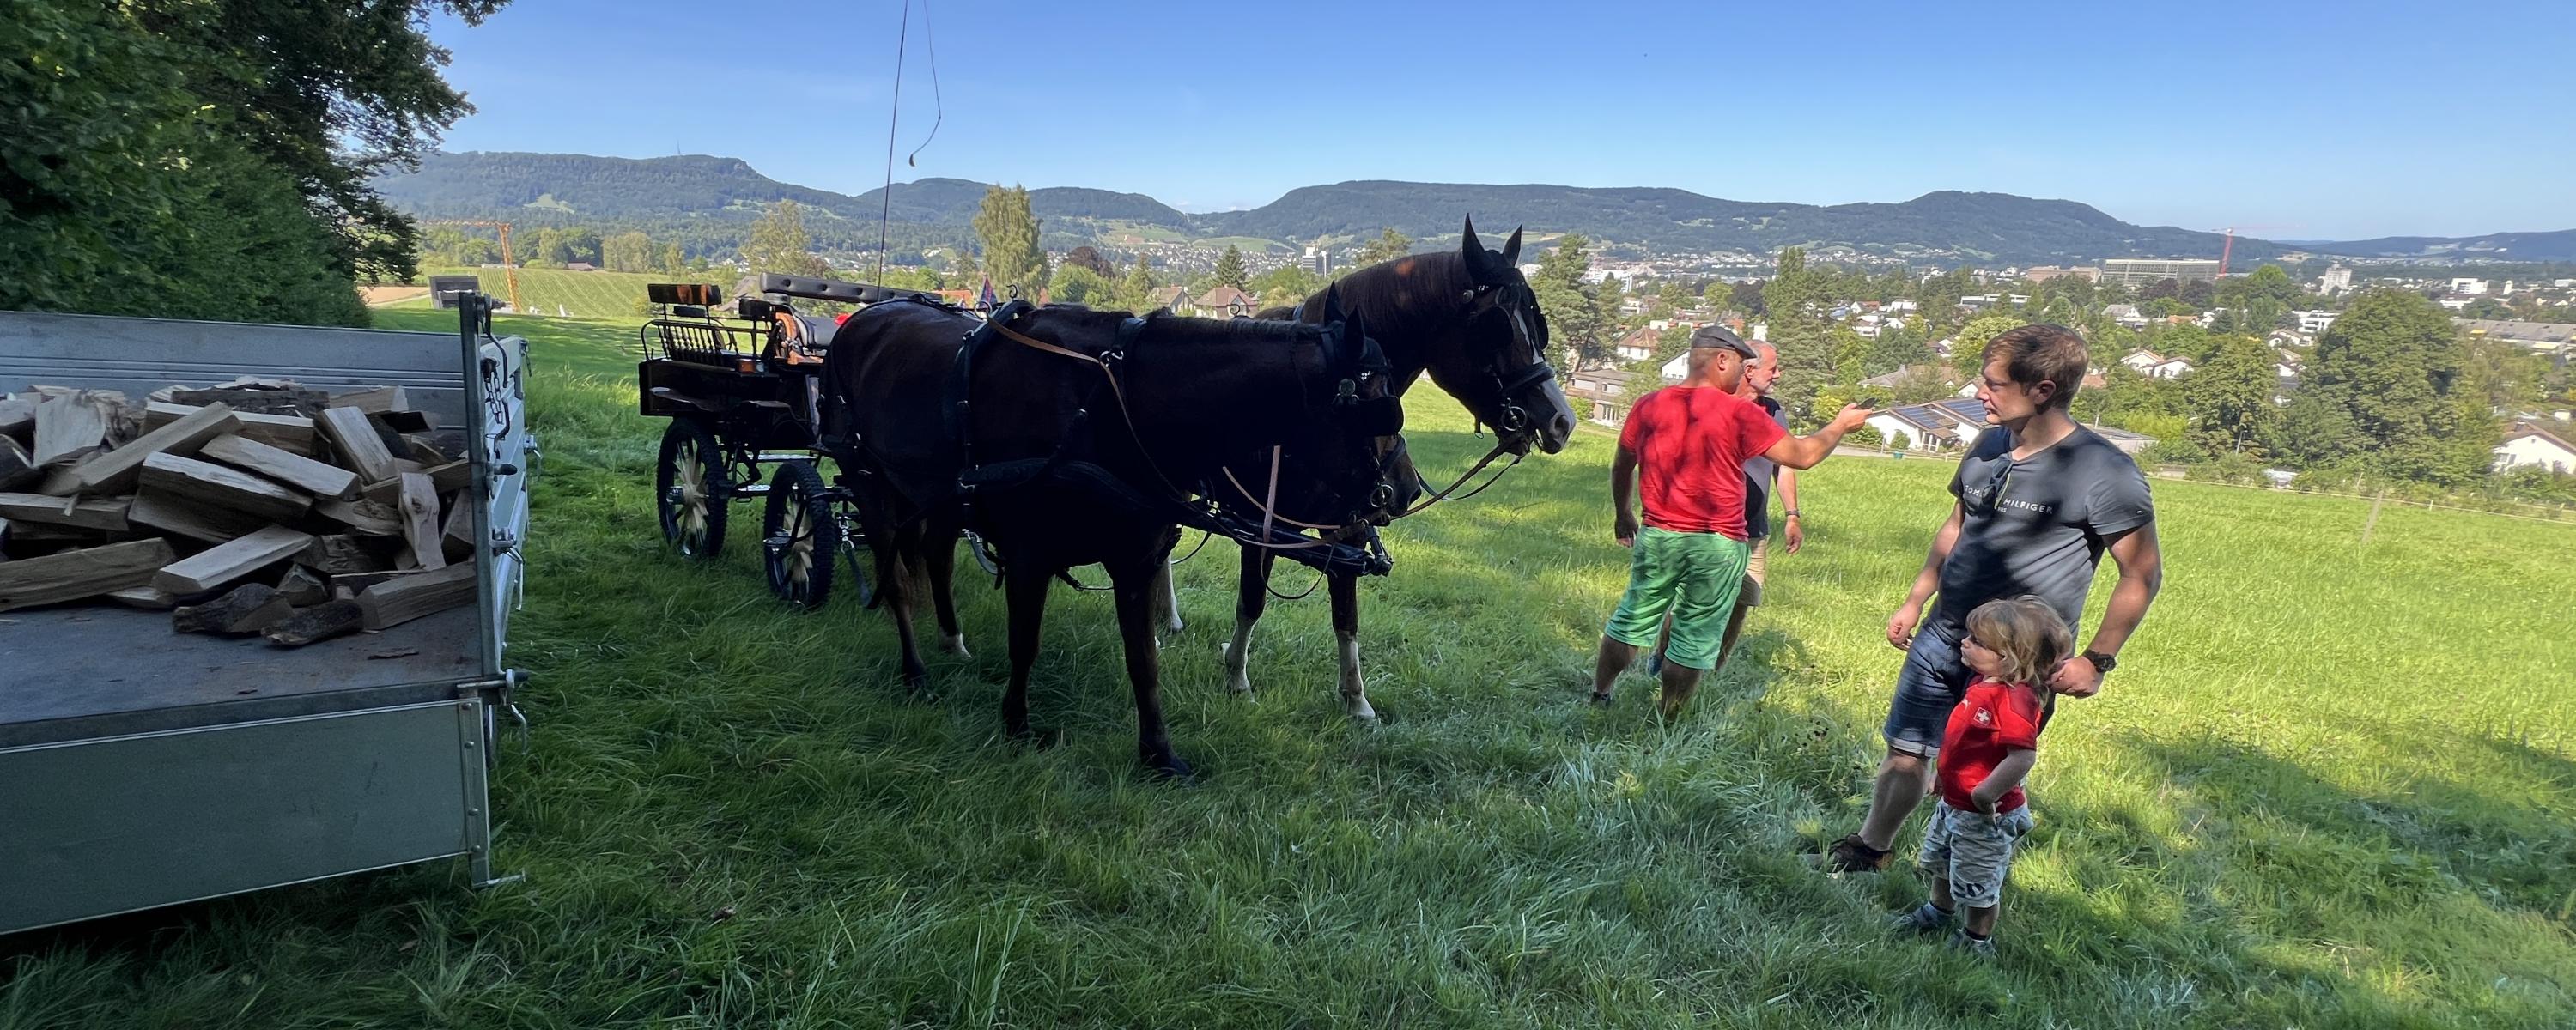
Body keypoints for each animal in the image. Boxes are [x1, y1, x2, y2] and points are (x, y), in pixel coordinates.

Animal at [824, 294, 1422, 778]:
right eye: (1385, 410)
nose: (1406, 489)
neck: (1112, 406)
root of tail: (866, 317)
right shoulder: (1028, 555)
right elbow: (1025, 644)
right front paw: (1016, 723)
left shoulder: (1136, 558)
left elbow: (1143, 660)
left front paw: (1158, 753)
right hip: (870, 485)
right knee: (897, 581)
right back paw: (915, 669)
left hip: (940, 500)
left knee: (936, 557)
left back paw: (951, 639)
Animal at [1216, 216, 1577, 721]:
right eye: (1498, 328)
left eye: (1537, 323)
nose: (1563, 420)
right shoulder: (1257, 524)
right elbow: (1252, 601)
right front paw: (1236, 676)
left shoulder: (1346, 530)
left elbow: (1346, 615)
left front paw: (1355, 699)